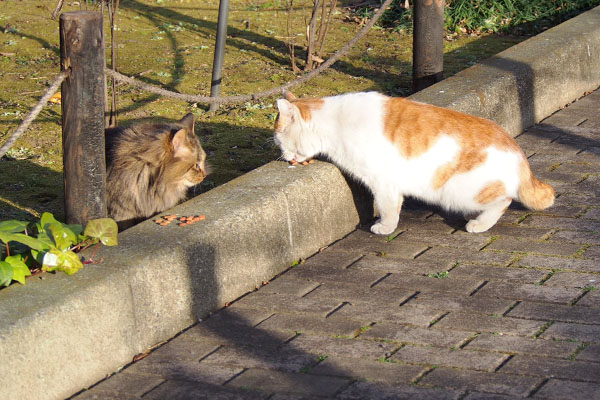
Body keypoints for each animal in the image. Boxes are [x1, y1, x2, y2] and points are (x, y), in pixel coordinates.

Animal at [274, 90, 556, 234]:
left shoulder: (382, 182)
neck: (337, 122)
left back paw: (479, 223)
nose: (284, 156)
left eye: (279, 138)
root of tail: (519, 155)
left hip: (460, 191)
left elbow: (388, 208)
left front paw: (384, 227)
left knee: (503, 201)